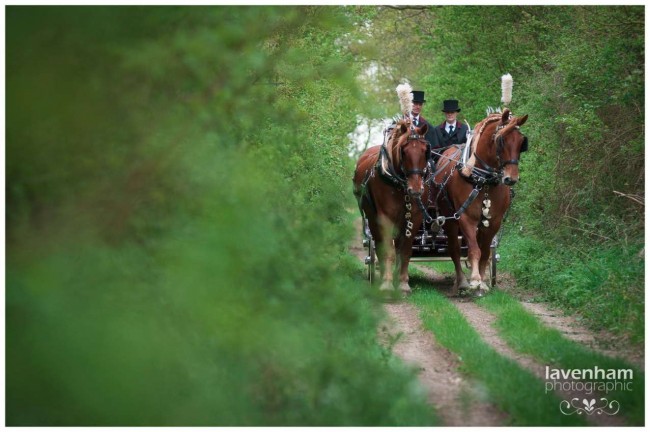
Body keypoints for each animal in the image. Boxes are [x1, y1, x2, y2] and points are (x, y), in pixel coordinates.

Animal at [352, 120, 428, 294]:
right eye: (404, 151)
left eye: (425, 150)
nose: (415, 189)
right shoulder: (385, 217)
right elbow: (387, 251)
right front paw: (386, 284)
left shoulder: (414, 217)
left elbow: (405, 252)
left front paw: (403, 283)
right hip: (373, 219)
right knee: (380, 245)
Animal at [430, 109, 528, 296]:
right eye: (501, 140)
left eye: (522, 142)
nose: (511, 178)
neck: (483, 180)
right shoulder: (466, 218)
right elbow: (474, 250)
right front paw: (475, 280)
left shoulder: (493, 221)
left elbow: (485, 252)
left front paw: (483, 282)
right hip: (450, 220)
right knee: (454, 249)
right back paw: (461, 282)